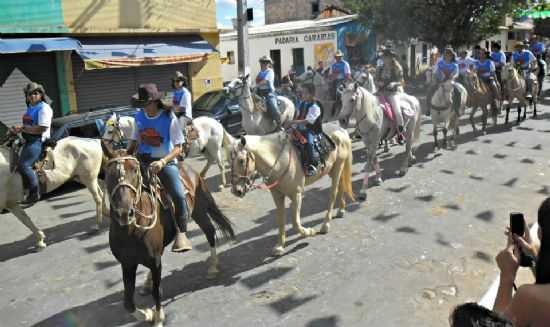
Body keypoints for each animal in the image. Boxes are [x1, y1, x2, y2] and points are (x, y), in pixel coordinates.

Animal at [102, 114, 236, 192]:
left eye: (110, 131)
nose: (103, 142)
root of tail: (217, 122)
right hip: (204, 149)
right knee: (210, 161)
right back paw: (202, 175)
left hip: (214, 148)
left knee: (220, 164)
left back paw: (222, 184)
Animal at [102, 146, 236, 327]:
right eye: (108, 173)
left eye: (134, 170)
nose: (124, 212)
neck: (131, 230)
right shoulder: (127, 263)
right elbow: (128, 303)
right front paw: (148, 314)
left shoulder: (154, 260)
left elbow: (157, 291)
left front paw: (158, 318)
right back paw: (147, 283)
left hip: (199, 209)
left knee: (209, 231)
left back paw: (213, 267)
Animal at [230, 124, 356, 258]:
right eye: (229, 160)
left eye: (241, 160)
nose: (236, 190)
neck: (279, 160)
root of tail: (340, 129)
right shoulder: (277, 196)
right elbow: (280, 220)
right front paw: (280, 246)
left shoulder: (296, 195)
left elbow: (295, 222)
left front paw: (309, 232)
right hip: (332, 171)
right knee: (342, 186)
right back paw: (341, 210)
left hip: (338, 167)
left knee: (333, 193)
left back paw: (325, 225)